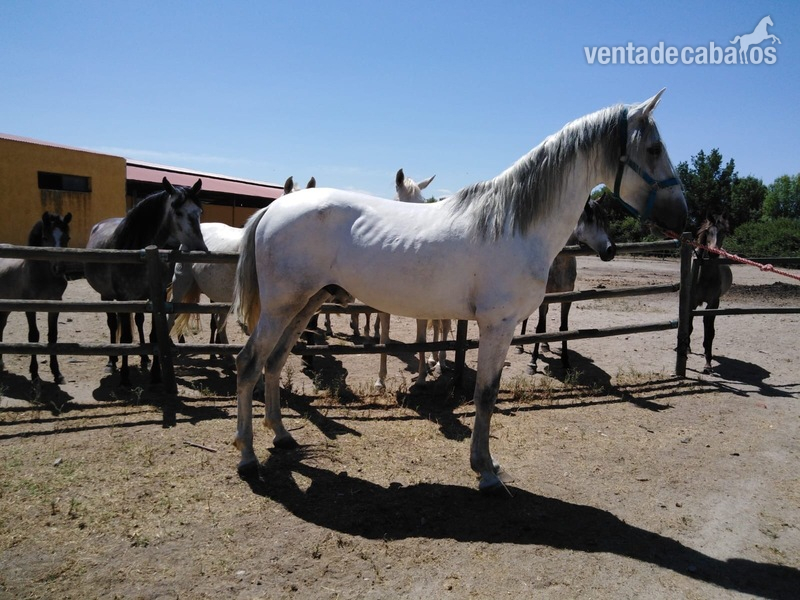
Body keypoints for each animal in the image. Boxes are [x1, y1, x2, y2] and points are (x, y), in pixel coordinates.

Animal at [0, 212, 73, 384]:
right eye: (45, 238)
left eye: (67, 238)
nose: (59, 268)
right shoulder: (30, 307)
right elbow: (33, 336)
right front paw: (34, 374)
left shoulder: (55, 305)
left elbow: (52, 336)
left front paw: (57, 374)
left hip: (5, 309)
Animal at [85, 177, 207, 387]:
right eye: (178, 212)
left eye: (199, 212)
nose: (201, 250)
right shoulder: (124, 298)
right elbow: (125, 337)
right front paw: (125, 377)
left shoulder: (156, 296)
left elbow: (154, 334)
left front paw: (156, 374)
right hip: (106, 295)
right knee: (112, 324)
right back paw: (112, 361)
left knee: (139, 321)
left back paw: (144, 358)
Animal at [518, 197, 616, 373]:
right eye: (590, 218)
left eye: (605, 219)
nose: (611, 250)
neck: (559, 263)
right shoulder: (544, 299)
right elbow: (539, 328)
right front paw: (532, 363)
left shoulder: (566, 298)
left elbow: (564, 328)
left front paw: (566, 362)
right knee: (528, 318)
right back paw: (521, 346)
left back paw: (545, 345)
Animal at [689, 214, 733, 374]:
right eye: (708, 232)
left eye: (724, 232)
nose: (714, 252)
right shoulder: (691, 302)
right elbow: (689, 326)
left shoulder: (714, 303)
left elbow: (710, 332)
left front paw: (708, 363)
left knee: (706, 325)